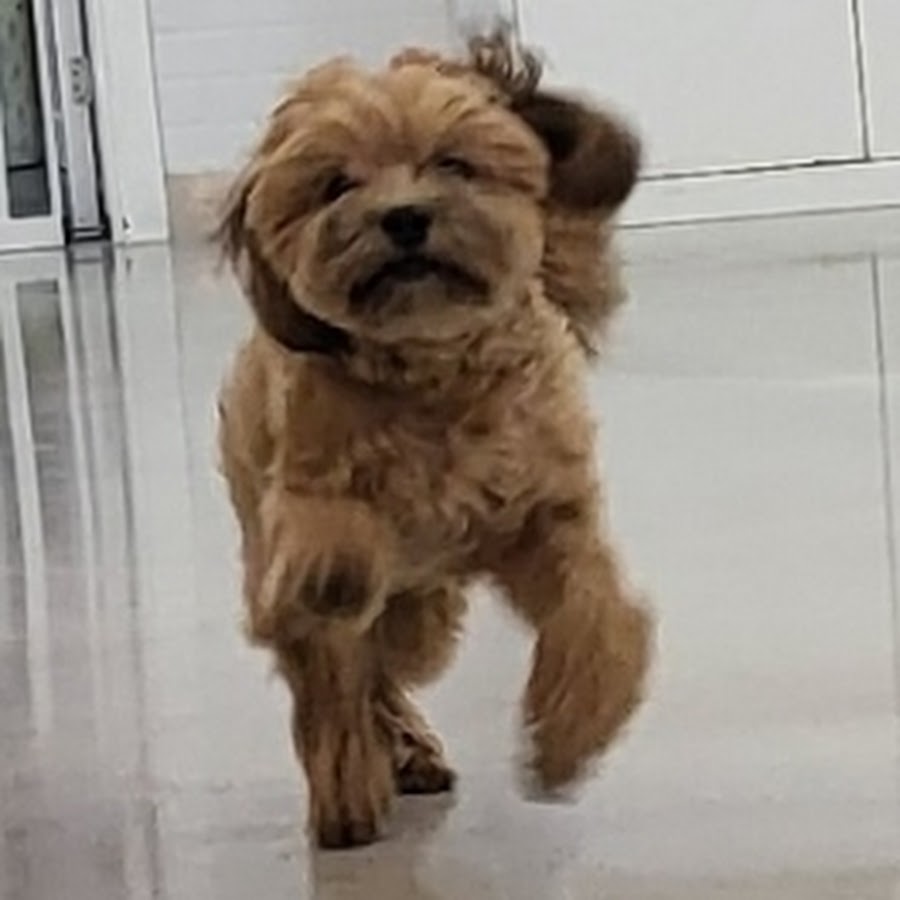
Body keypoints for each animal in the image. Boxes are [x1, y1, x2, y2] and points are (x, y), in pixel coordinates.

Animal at [217, 30, 653, 849]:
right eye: (335, 184)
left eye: (454, 163)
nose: (404, 218)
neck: (433, 375)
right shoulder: (306, 504)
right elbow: (331, 557)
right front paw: (337, 571)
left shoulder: (548, 516)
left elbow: (597, 618)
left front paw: (568, 734)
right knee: (338, 678)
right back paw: (352, 786)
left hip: (424, 612)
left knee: (381, 668)